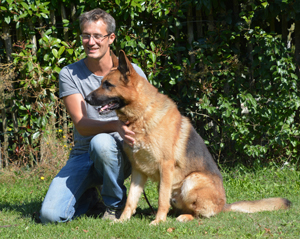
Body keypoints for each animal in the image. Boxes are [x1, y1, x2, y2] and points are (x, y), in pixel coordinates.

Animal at [85, 51, 292, 226]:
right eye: (101, 82)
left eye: (108, 85)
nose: (86, 99)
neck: (142, 114)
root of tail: (223, 205)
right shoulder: (138, 171)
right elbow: (130, 200)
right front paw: (122, 220)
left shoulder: (165, 167)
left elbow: (161, 199)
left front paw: (158, 222)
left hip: (191, 181)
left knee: (200, 214)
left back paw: (184, 217)